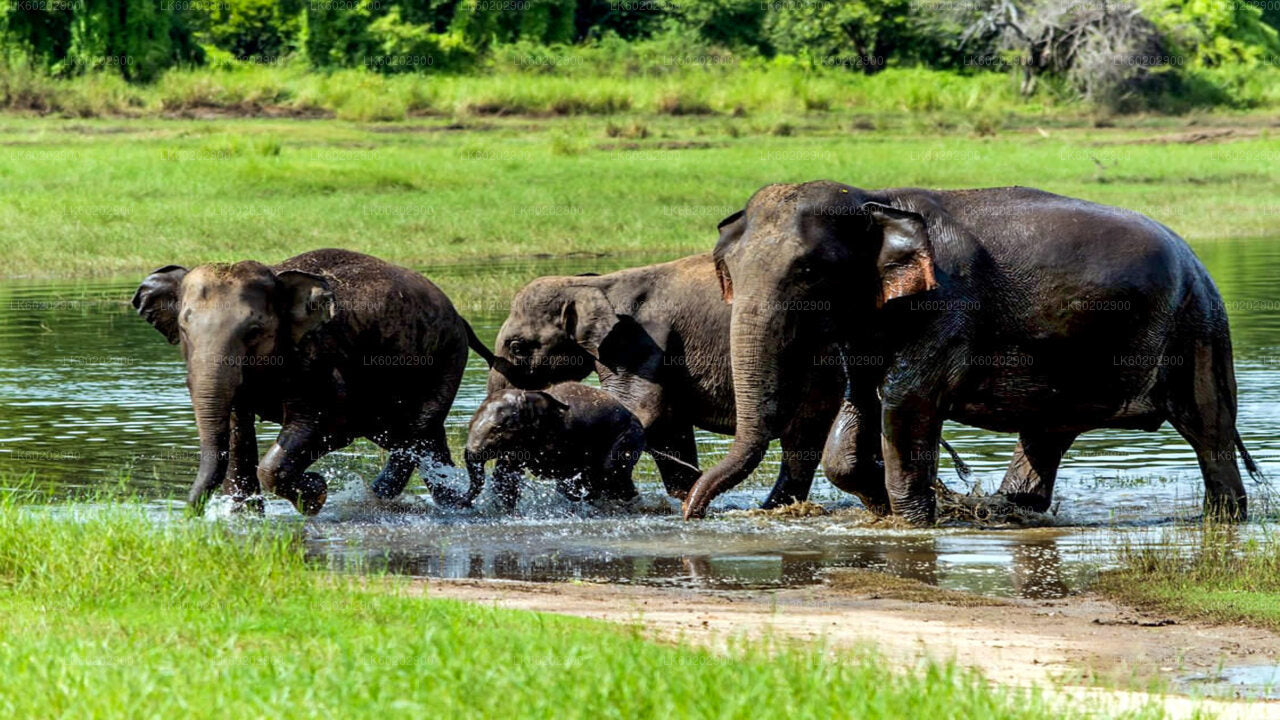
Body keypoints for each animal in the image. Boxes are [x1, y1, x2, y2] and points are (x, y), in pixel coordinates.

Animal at [133, 249, 494, 512]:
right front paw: (244, 518)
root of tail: (459, 317)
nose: (189, 515)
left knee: (414, 436)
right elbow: (236, 431)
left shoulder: (320, 358)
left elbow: (328, 423)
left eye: (254, 331)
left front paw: (315, 495)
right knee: (423, 440)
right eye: (183, 329)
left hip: (445, 358)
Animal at [453, 381, 650, 509]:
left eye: (497, 431)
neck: (529, 395)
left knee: (610, 475)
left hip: (628, 437)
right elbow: (505, 477)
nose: (461, 503)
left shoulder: (564, 436)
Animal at [483, 254, 844, 507]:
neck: (593, 285)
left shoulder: (638, 341)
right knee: (803, 441)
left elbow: (641, 411)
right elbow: (669, 428)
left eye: (517, 347)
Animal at [686, 179, 1264, 520]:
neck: (874, 195)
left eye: (807, 271)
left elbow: (907, 402)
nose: (695, 513)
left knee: (1208, 429)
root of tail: (1195, 256)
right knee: (1046, 434)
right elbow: (860, 408)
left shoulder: (948, 305)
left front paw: (915, 521)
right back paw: (1014, 511)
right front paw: (893, 503)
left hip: (1198, 324)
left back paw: (1224, 520)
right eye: (727, 272)